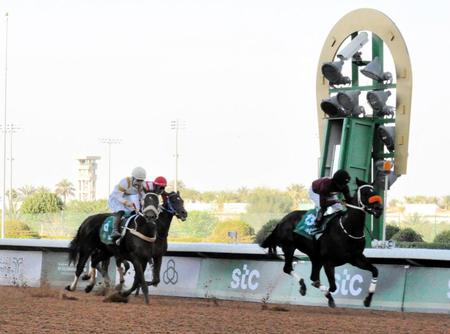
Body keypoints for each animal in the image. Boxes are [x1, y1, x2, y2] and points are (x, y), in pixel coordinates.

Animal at [260, 177, 384, 308]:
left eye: (375, 191)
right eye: (365, 193)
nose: (379, 209)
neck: (347, 228)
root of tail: (282, 220)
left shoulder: (356, 258)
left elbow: (375, 271)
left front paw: (368, 299)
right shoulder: (328, 262)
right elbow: (333, 287)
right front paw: (328, 296)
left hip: (314, 256)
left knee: (312, 276)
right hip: (289, 247)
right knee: (288, 268)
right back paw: (303, 285)